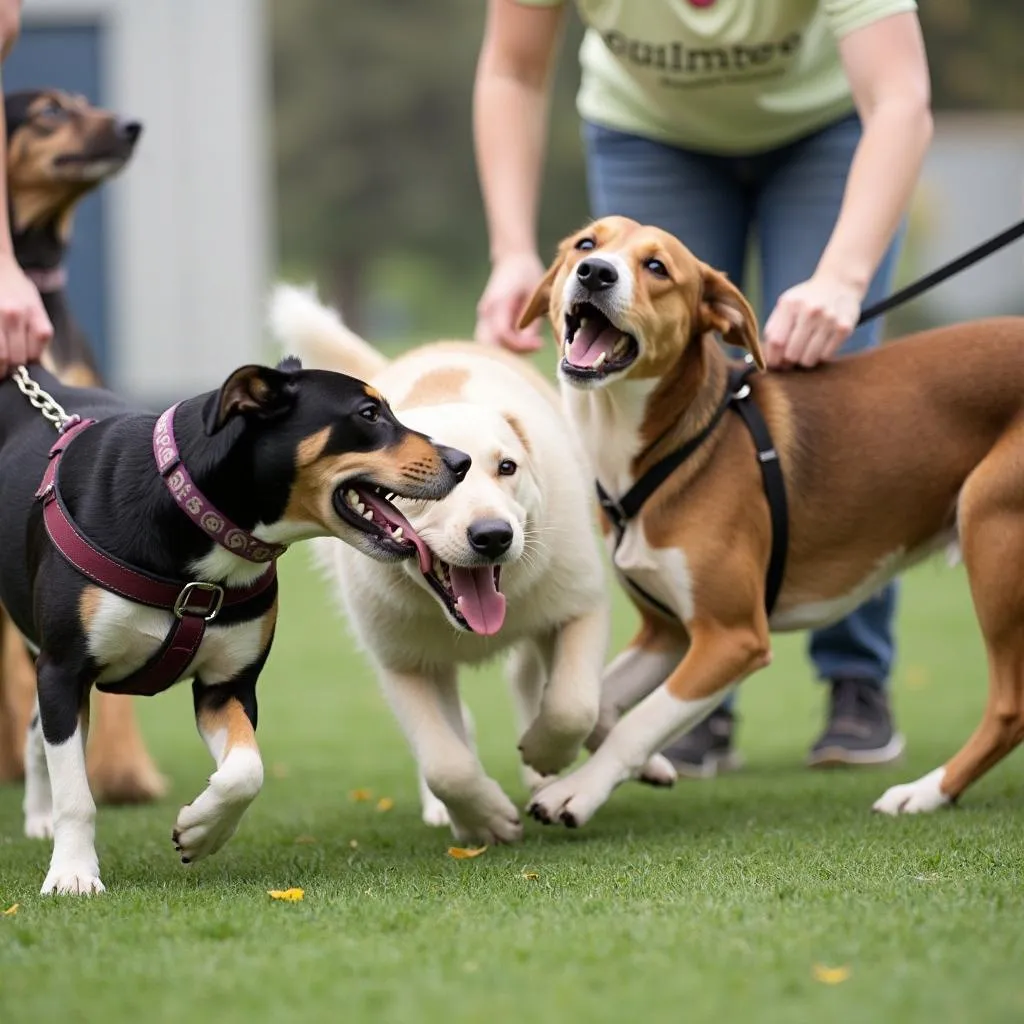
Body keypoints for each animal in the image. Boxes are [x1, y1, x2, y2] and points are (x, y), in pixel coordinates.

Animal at [516, 218, 1024, 831]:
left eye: (657, 267)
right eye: (586, 245)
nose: (595, 273)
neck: (668, 447)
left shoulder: (731, 637)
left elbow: (641, 720)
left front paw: (580, 790)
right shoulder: (668, 631)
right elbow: (593, 700)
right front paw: (559, 746)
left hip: (992, 533)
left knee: (1010, 707)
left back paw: (925, 792)